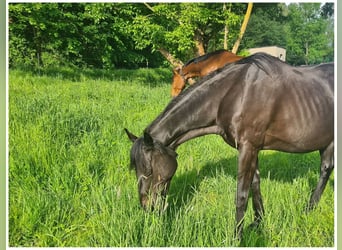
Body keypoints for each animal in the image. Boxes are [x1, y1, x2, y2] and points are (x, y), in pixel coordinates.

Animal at [125, 53, 334, 240]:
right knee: (326, 169)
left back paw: (308, 209)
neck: (235, 94)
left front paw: (237, 237)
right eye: (135, 169)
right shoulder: (251, 149)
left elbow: (241, 194)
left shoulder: (248, 147)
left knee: (325, 170)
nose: (146, 206)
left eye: (149, 169)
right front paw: (258, 223)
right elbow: (255, 185)